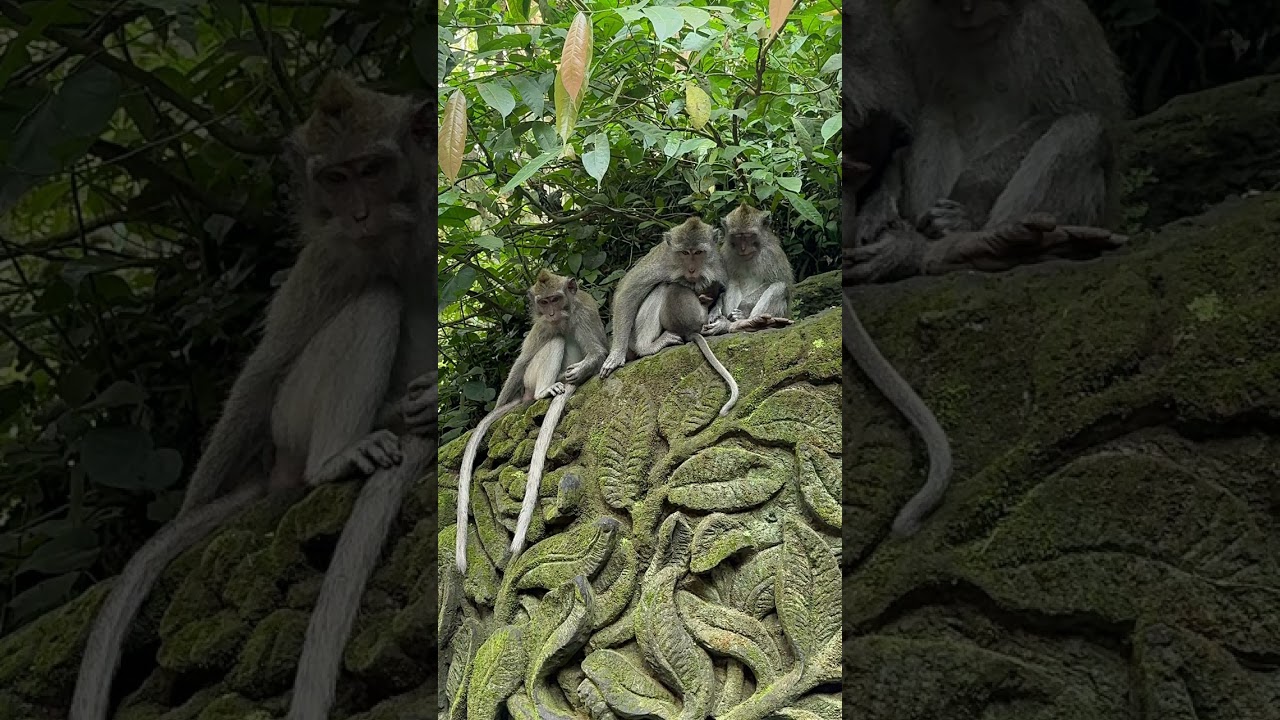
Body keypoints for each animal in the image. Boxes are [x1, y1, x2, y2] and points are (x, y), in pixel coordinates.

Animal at [70, 73, 437, 720]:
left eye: (371, 168)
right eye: (334, 179)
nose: (359, 214)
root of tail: (277, 466)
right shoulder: (330, 252)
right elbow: (266, 367)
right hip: (291, 420)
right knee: (373, 302)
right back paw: (338, 456)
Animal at [455, 269, 607, 574]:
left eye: (556, 299)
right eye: (543, 302)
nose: (550, 313)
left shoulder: (584, 312)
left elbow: (599, 351)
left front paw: (587, 366)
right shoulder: (539, 326)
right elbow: (522, 360)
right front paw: (499, 405)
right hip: (530, 378)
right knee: (553, 343)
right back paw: (543, 392)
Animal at [701, 203, 795, 336]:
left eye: (750, 235)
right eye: (737, 236)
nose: (743, 248)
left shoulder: (771, 254)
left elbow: (779, 282)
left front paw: (743, 309)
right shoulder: (724, 254)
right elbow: (722, 287)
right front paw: (715, 310)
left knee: (780, 287)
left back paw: (748, 322)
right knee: (733, 281)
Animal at [845, 0, 1129, 284]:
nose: (966, 10)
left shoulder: (1057, 23)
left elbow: (1074, 112)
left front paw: (970, 195)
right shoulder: (909, 24)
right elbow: (903, 126)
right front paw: (878, 207)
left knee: (1083, 126)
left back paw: (988, 242)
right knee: (934, 110)